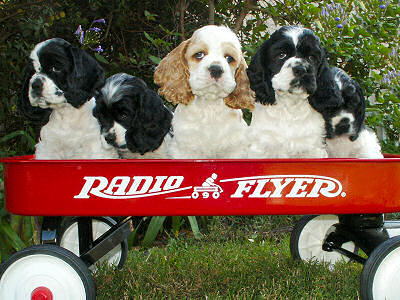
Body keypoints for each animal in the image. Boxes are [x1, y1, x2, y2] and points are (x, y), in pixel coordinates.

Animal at [153, 25, 253, 159]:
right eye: (199, 54)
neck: (209, 106)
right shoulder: (183, 150)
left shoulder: (235, 149)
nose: (216, 69)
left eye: (229, 58)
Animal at [248, 25, 330, 159]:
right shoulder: (261, 147)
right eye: (282, 55)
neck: (290, 108)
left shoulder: (312, 149)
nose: (301, 69)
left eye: (312, 58)